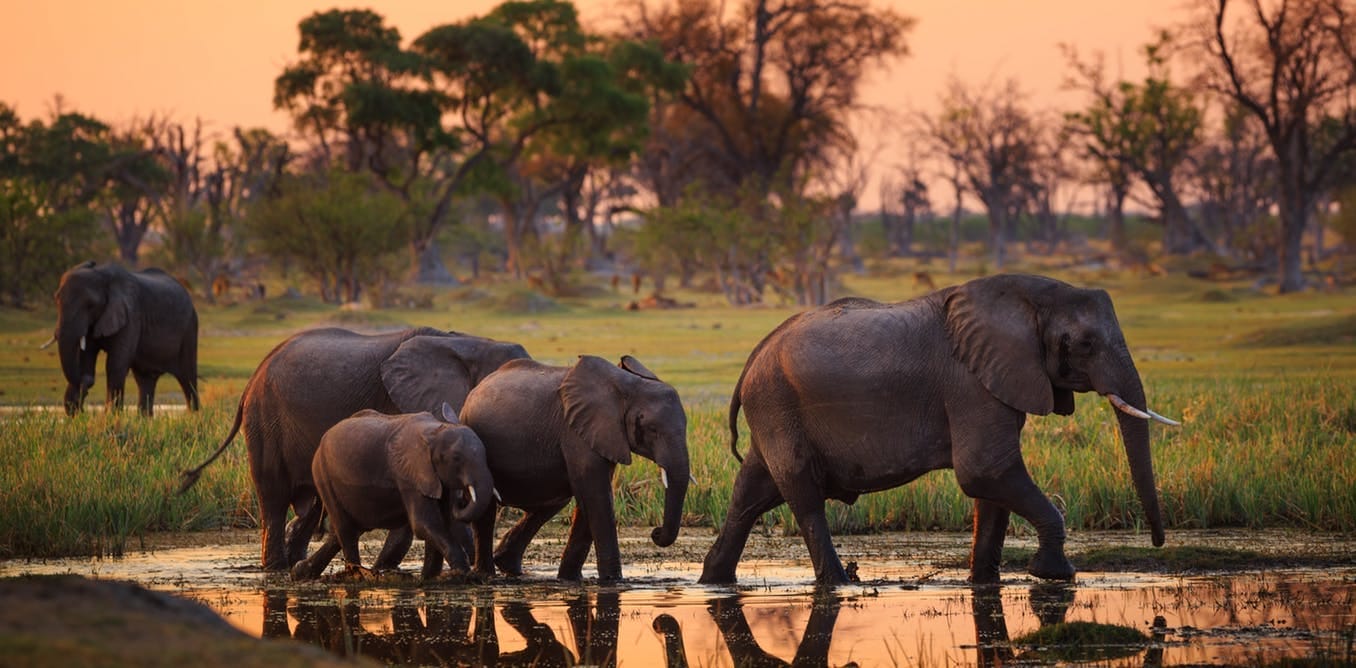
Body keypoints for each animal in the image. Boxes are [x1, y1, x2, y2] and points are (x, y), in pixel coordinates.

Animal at [50, 258, 200, 411]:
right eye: (56, 300)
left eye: (90, 305)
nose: (87, 381)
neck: (102, 275)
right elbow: (86, 359)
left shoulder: (131, 316)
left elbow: (115, 365)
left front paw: (112, 416)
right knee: (145, 380)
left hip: (190, 328)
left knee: (188, 378)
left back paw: (194, 415)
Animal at [288, 403, 496, 579]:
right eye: (456, 458)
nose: (462, 499)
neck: (436, 431)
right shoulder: (408, 475)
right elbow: (424, 523)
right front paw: (462, 573)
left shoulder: (435, 478)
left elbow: (442, 522)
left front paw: (430, 578)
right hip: (322, 474)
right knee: (346, 529)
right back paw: (355, 575)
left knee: (349, 530)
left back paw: (300, 572)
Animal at [461, 355, 688, 577]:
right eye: (652, 429)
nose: (655, 532)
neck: (628, 386)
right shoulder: (576, 431)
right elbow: (597, 496)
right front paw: (613, 581)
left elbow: (590, 496)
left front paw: (570, 579)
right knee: (487, 509)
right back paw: (486, 574)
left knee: (552, 502)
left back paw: (508, 566)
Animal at [699, 270, 1177, 582]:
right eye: (1084, 344)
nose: (1157, 542)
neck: (1030, 298)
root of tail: (753, 357)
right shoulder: (970, 383)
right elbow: (985, 470)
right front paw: (1054, 575)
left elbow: (991, 487)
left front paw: (984, 582)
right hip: (777, 405)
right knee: (803, 497)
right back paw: (840, 583)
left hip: (773, 411)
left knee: (751, 494)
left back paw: (714, 580)